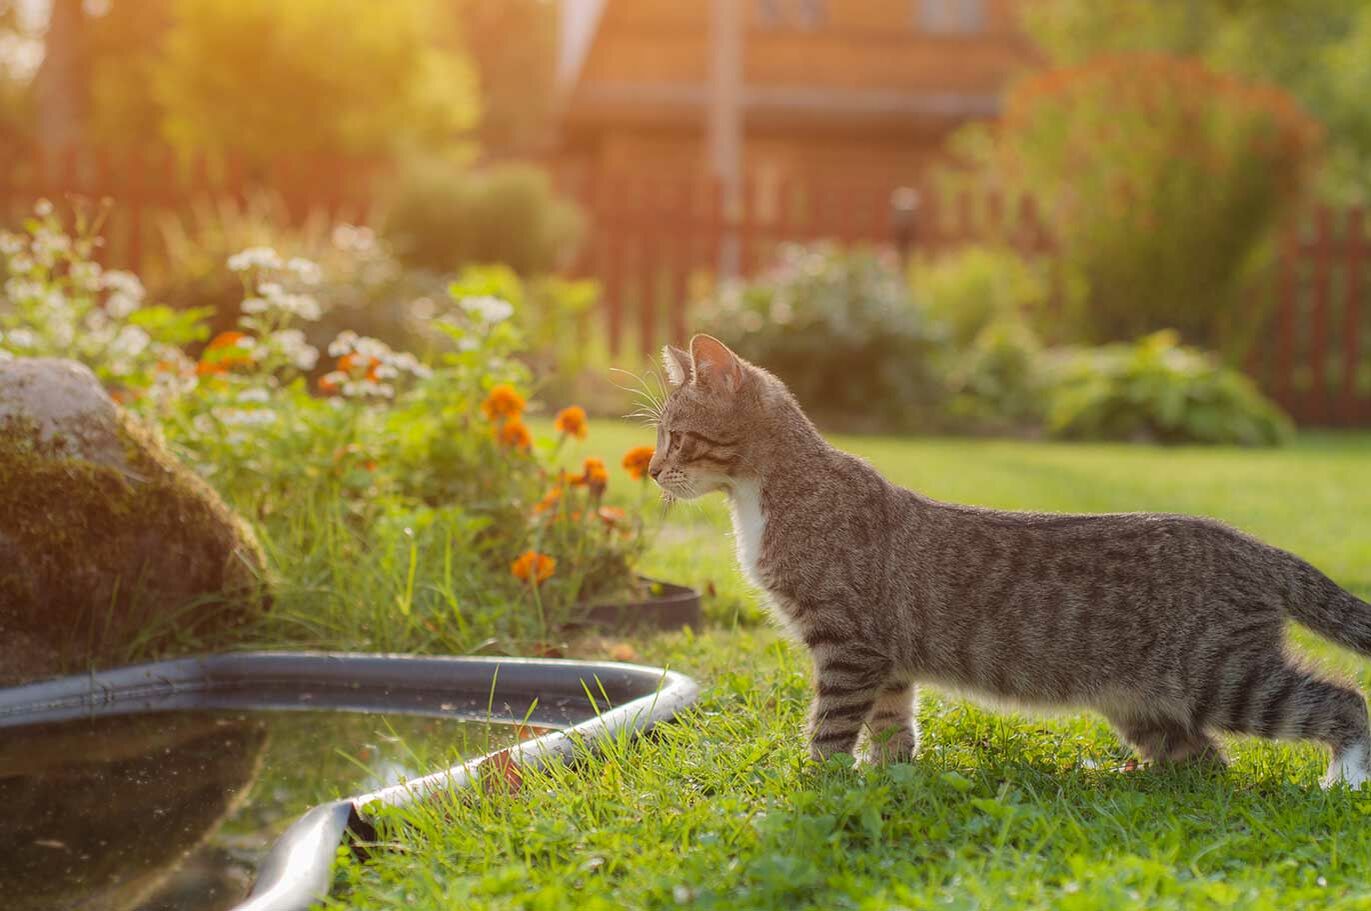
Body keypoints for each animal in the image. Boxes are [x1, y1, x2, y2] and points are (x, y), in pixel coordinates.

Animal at [647, 337, 1371, 784]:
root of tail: (1251, 545)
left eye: (677, 437)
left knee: (1343, 702)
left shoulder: (847, 644)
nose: (652, 471)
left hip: (1223, 675)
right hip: (1145, 702)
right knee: (1205, 762)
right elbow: (891, 722)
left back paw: (1342, 780)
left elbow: (831, 723)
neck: (770, 492)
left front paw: (819, 782)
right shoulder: (886, 658)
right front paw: (888, 778)